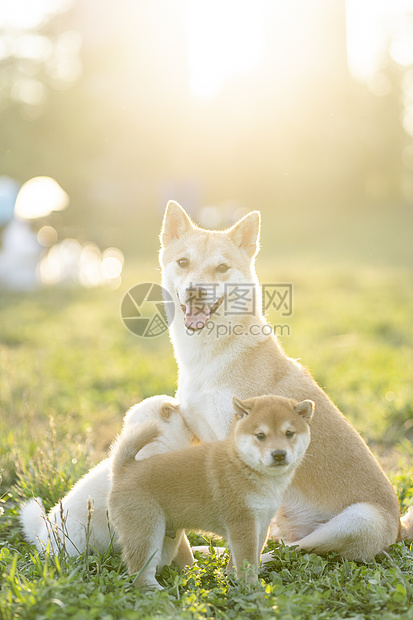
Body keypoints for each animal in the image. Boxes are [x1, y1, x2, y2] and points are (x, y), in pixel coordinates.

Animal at [108, 394, 312, 588]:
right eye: (261, 435)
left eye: (289, 433)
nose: (279, 454)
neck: (243, 466)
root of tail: (124, 469)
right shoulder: (242, 523)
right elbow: (246, 560)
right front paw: (252, 587)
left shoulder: (260, 523)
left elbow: (246, 558)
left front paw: (233, 578)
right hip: (147, 532)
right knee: (140, 573)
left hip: (167, 539)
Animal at [159, 202, 412, 560]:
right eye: (183, 262)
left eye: (222, 267)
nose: (196, 290)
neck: (211, 356)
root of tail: (399, 530)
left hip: (359, 518)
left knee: (293, 552)